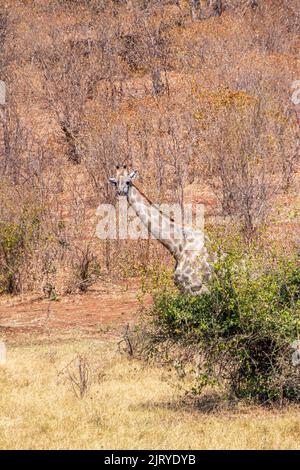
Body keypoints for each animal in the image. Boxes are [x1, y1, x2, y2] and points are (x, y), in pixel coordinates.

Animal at [109, 166, 212, 294]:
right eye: (115, 183)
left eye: (128, 182)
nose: (120, 193)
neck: (178, 247)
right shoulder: (183, 288)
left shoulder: (197, 288)